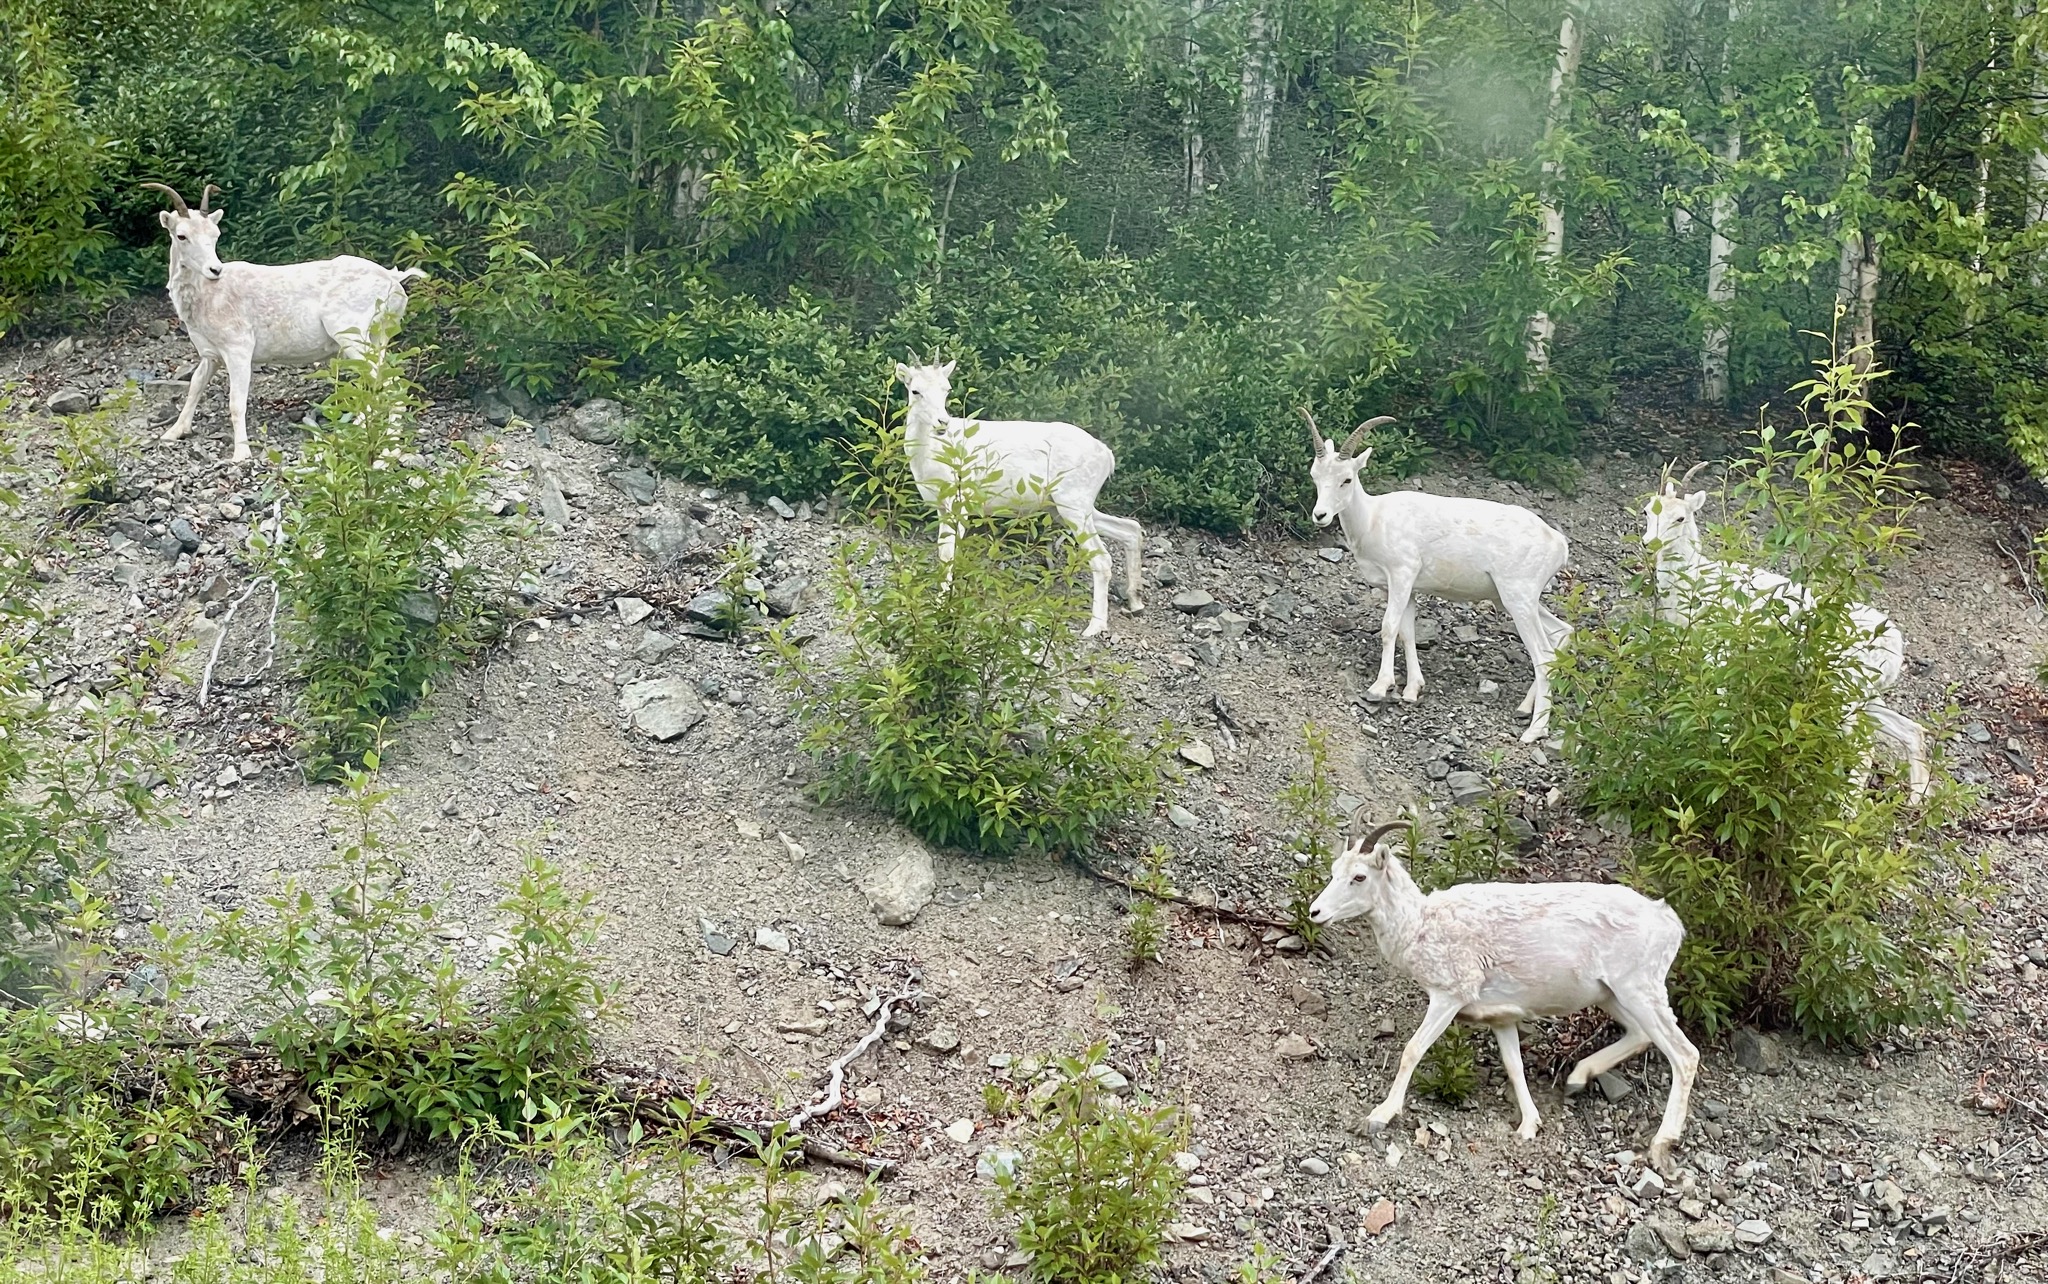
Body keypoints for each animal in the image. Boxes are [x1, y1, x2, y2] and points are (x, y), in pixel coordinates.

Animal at [141, 182, 426, 463]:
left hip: (352, 337)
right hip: (377, 339)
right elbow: (195, 385)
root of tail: (392, 279)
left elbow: (236, 401)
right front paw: (173, 433)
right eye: (181, 236)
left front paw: (241, 453)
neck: (209, 294)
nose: (215, 270)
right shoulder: (212, 355)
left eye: (215, 235)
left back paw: (388, 450)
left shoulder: (239, 350)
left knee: (389, 384)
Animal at [894, 359, 1142, 638]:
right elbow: (944, 553)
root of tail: (1107, 456)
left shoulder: (962, 501)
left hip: (1073, 504)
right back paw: (1135, 602)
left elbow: (950, 554)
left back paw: (1094, 626)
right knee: (1131, 528)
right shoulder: (941, 506)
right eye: (915, 390)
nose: (942, 422)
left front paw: (945, 603)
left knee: (1102, 558)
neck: (930, 455)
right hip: (1069, 507)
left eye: (946, 389)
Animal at [1301, 409, 1573, 742]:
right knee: (1563, 631)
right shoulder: (1408, 589)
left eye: (1346, 479)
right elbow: (1407, 632)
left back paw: (1534, 731)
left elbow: (1389, 628)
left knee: (1544, 654)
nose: (1320, 515)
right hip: (1520, 601)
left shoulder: (1402, 574)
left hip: (1518, 600)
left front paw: (1379, 688)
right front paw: (1411, 690)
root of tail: (1558, 543)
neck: (1374, 519)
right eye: (1315, 475)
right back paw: (1524, 708)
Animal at [1309, 818, 1700, 1172]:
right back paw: (1576, 1079)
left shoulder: (1448, 997)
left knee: (1684, 1054)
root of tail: (1670, 923)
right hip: (1612, 996)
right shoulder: (1502, 1019)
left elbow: (1412, 1051)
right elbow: (1514, 1066)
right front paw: (1528, 1126)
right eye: (1334, 871)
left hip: (1639, 991)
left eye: (1359, 877)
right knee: (1640, 1036)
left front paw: (1379, 1116)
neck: (1420, 926)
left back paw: (1662, 1143)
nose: (1316, 912)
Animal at [1643, 466, 1931, 802]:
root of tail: (1894, 647)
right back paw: (1915, 801)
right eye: (1648, 510)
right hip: (1865, 694)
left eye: (1680, 518)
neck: (1695, 584)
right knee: (1911, 731)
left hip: (1844, 692)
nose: (1649, 544)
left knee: (1864, 750)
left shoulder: (1722, 659)